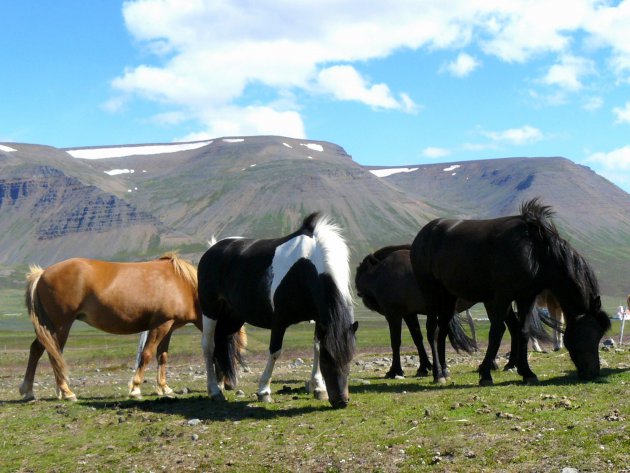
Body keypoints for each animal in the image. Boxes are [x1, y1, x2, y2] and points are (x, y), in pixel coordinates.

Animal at [20, 253, 247, 400]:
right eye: (230, 350)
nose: (230, 385)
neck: (182, 284)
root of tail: (42, 274)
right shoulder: (160, 325)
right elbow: (146, 355)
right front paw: (136, 388)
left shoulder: (169, 327)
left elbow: (162, 357)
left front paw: (164, 388)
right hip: (60, 325)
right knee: (52, 353)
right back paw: (66, 392)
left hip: (51, 326)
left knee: (38, 350)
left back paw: (31, 391)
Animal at [198, 212, 358, 408]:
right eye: (328, 361)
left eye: (349, 359)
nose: (341, 401)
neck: (307, 266)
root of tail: (212, 248)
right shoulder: (280, 320)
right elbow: (275, 352)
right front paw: (264, 391)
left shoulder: (319, 319)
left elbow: (317, 347)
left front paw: (319, 388)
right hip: (210, 310)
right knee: (208, 345)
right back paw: (214, 390)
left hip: (233, 316)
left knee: (222, 341)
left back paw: (220, 384)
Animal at [356, 245, 478, 378]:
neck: (380, 271)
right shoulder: (409, 314)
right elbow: (417, 338)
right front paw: (424, 367)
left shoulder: (393, 314)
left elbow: (395, 341)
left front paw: (395, 370)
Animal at [412, 197, 616, 386]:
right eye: (589, 334)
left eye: (599, 335)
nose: (593, 373)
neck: (535, 252)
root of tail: (423, 234)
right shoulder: (502, 297)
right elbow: (497, 332)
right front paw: (486, 375)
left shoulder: (526, 297)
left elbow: (523, 331)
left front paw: (527, 372)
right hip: (431, 293)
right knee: (432, 330)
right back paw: (437, 374)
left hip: (448, 297)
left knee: (443, 329)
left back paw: (445, 371)